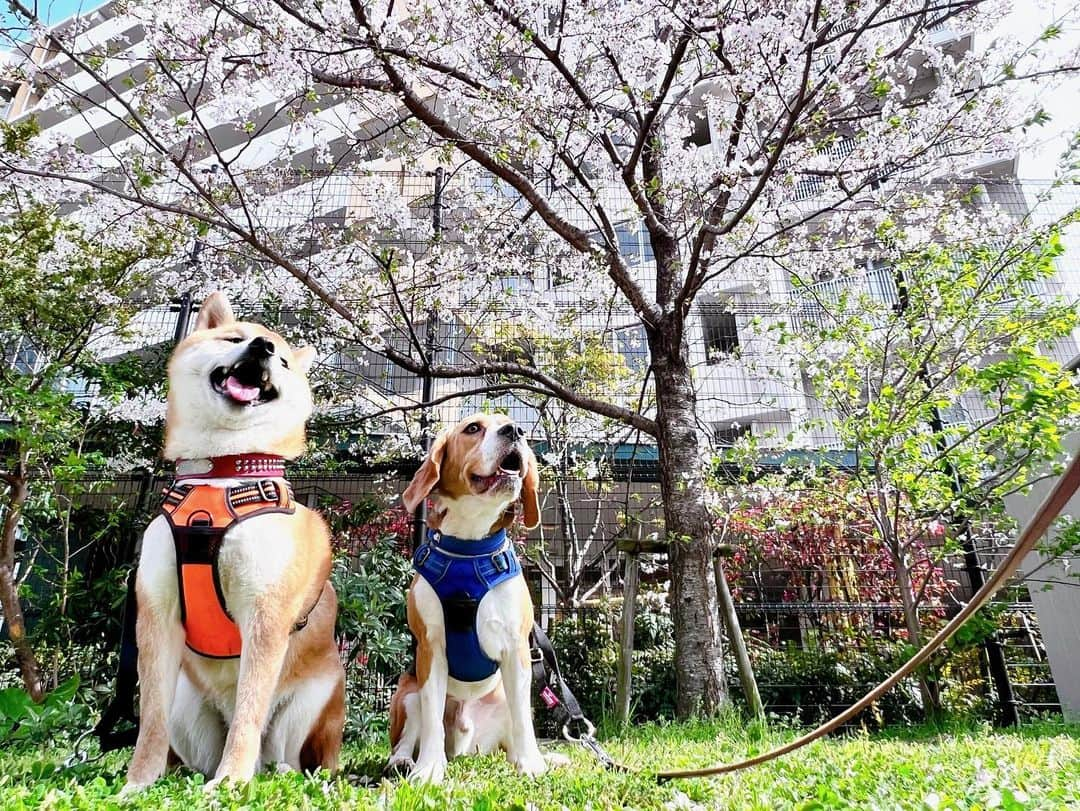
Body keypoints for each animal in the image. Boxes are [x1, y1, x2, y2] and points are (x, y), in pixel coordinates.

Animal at [125, 293, 345, 794]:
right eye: (233, 339)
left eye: (282, 361)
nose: (263, 347)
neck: (221, 473)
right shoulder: (157, 613)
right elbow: (149, 722)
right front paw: (136, 784)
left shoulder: (266, 612)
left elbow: (249, 712)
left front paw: (230, 783)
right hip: (187, 702)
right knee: (192, 746)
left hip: (314, 696)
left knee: (281, 752)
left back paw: (272, 773)